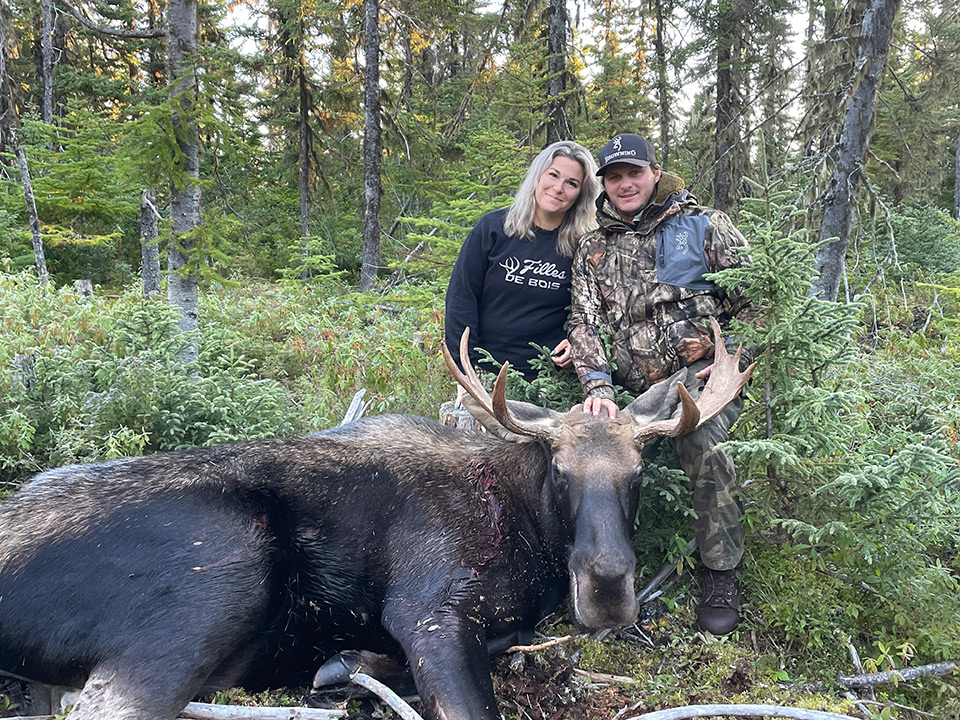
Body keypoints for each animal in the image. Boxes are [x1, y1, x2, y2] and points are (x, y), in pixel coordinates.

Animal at [0, 324, 752, 720]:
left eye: (638, 473)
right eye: (560, 472)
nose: (607, 590)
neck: (527, 535)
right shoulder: (430, 608)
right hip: (220, 575)